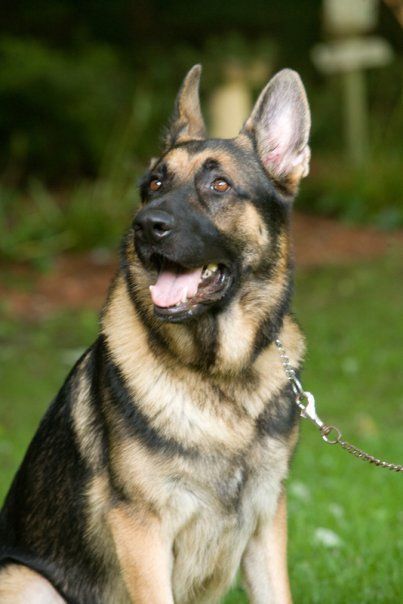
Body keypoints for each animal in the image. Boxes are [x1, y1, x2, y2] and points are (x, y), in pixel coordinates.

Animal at [0, 63, 310, 600]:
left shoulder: (265, 525)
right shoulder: (142, 532)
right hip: (24, 578)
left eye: (220, 185)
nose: (146, 225)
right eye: (154, 184)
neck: (216, 376)